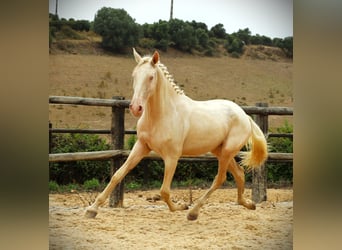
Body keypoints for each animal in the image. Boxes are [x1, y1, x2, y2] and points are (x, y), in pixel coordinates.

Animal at [85, 47, 268, 220]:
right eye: (134, 75)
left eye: (151, 77)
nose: (136, 108)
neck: (162, 115)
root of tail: (245, 115)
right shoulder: (141, 146)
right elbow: (117, 175)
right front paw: (92, 210)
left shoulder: (172, 156)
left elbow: (164, 191)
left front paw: (181, 207)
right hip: (220, 151)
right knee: (239, 173)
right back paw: (248, 204)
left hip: (227, 152)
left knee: (220, 178)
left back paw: (193, 212)